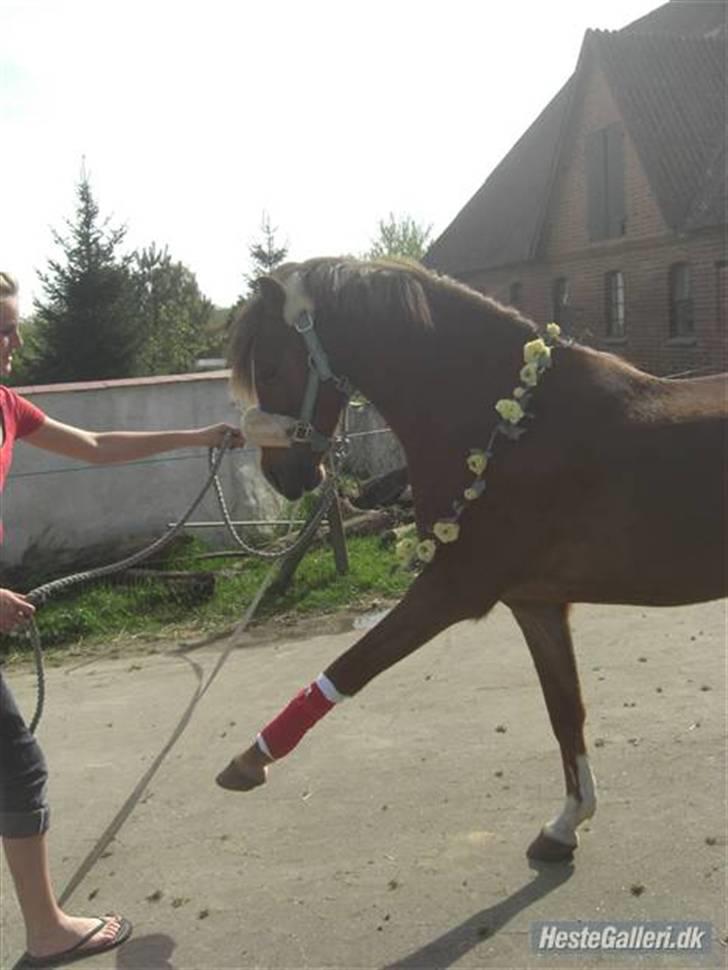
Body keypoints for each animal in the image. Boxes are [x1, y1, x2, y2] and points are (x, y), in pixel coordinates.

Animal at [217, 256, 726, 862]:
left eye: (271, 368)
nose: (283, 476)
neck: (510, 424)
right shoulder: (535, 602)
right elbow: (565, 710)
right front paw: (566, 823)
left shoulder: (453, 588)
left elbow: (352, 666)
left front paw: (250, 759)